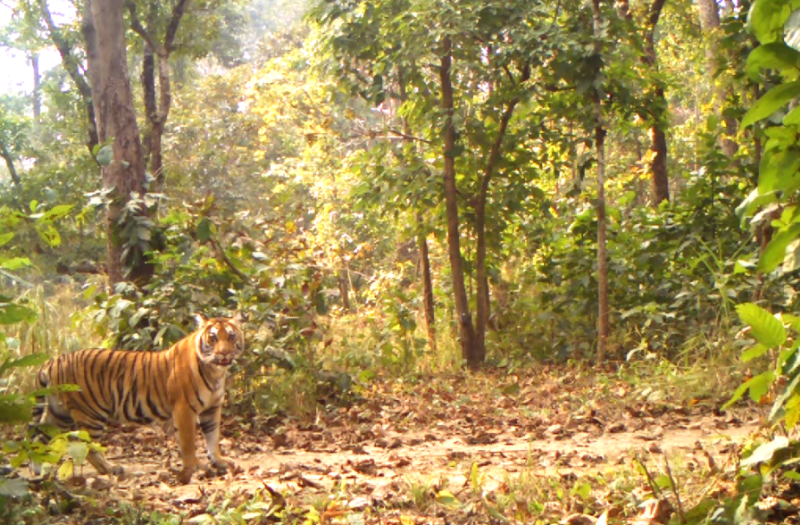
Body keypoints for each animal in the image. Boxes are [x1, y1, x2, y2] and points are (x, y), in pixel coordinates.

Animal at [34, 312, 245, 484]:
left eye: (231, 336)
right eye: (213, 338)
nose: (224, 353)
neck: (215, 371)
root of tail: (53, 361)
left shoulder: (212, 408)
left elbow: (212, 436)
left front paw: (219, 460)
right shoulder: (184, 408)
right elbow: (188, 442)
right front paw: (194, 467)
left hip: (59, 413)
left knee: (40, 435)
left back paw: (37, 469)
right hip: (90, 414)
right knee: (88, 447)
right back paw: (111, 469)